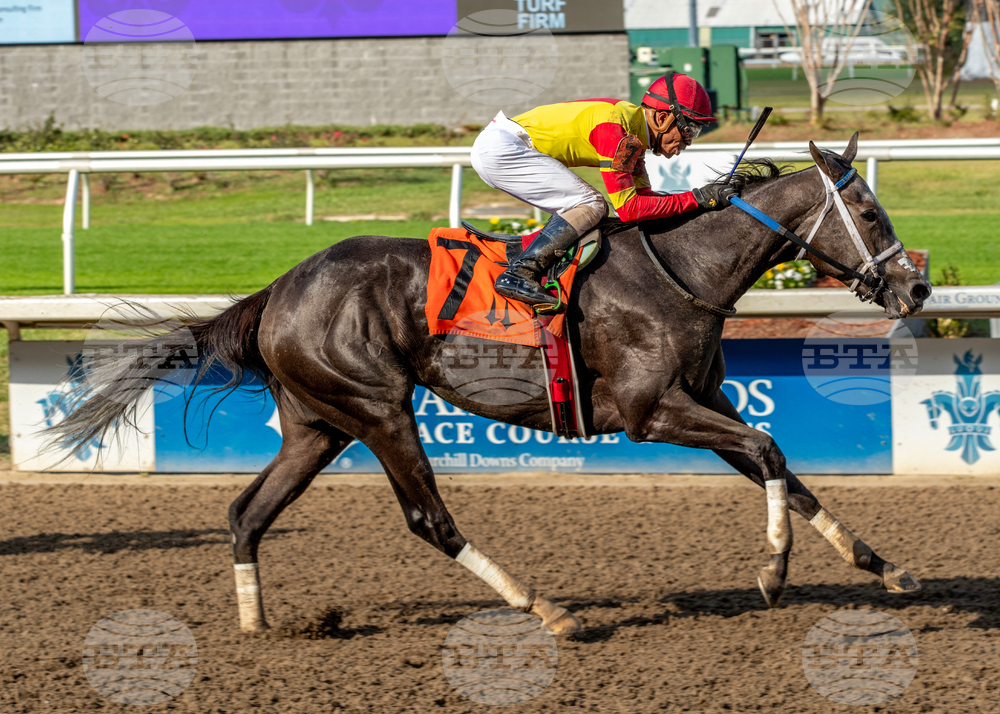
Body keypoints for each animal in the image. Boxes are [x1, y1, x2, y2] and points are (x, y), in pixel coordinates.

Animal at [49, 133, 931, 635]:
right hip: (378, 408)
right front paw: (774, 573)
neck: (682, 269)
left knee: (245, 514)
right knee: (429, 519)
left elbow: (782, 464)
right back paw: (548, 611)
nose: (916, 288)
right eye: (869, 213)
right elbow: (770, 449)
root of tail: (277, 288)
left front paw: (885, 567)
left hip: (317, 424)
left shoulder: (703, 399)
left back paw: (256, 624)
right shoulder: (652, 412)